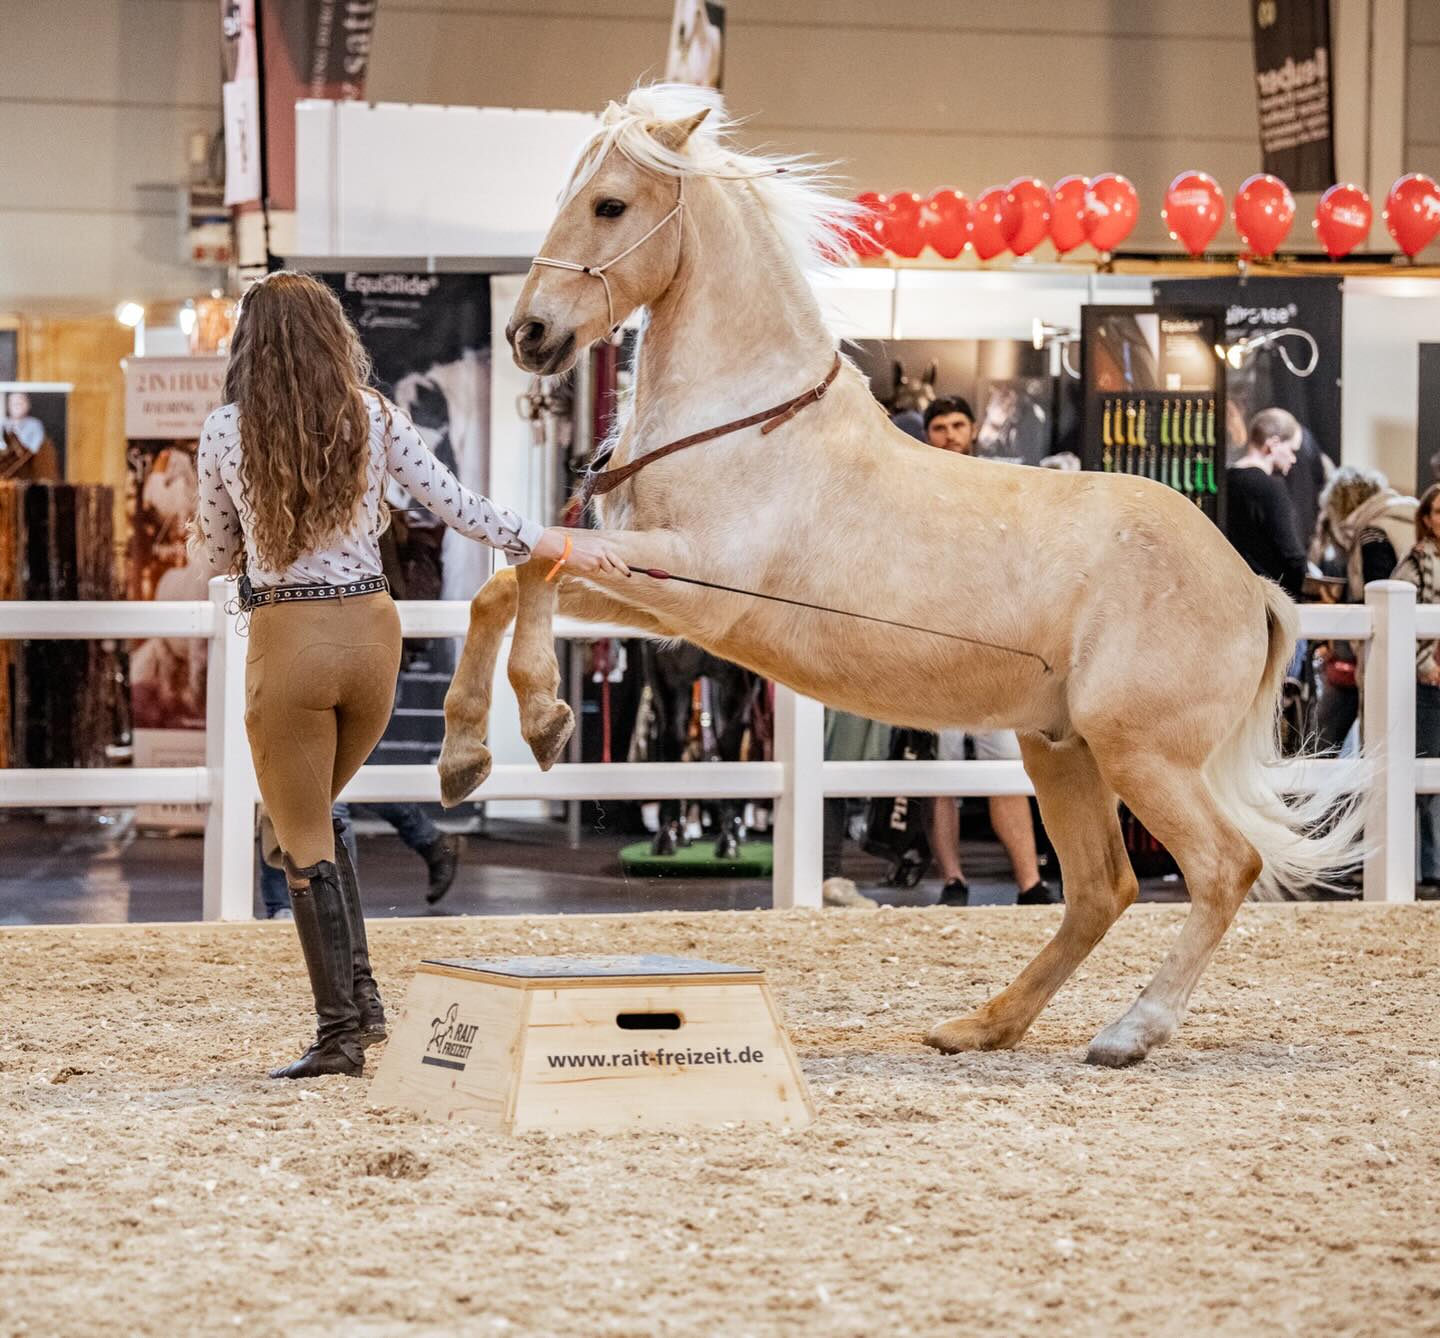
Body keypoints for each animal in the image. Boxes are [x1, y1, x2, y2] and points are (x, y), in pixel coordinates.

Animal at [438, 84, 1361, 1067]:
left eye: (610, 204)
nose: (530, 334)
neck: (747, 428)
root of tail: (1252, 587)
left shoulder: (695, 589)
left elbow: (535, 563)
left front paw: (541, 719)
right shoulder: (652, 593)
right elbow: (510, 581)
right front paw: (469, 754)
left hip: (1141, 754)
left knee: (1223, 869)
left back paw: (1127, 1032)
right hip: (1061, 748)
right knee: (1101, 888)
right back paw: (982, 1025)